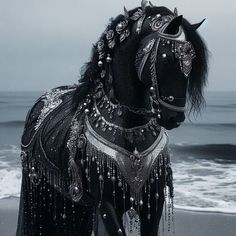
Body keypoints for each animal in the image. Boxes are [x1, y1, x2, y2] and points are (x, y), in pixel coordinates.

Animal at [16, 1, 206, 236]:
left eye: (192, 61)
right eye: (167, 58)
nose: (175, 117)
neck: (131, 128)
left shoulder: (153, 201)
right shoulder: (106, 203)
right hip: (38, 187)